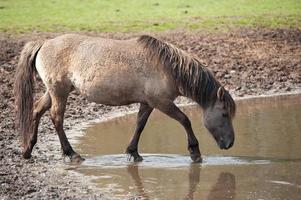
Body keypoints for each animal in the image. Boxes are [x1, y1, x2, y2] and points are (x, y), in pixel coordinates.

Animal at [13, 34, 234, 162]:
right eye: (224, 114)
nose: (230, 143)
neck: (167, 67)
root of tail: (44, 43)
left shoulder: (147, 103)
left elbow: (140, 125)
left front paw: (133, 152)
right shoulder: (161, 102)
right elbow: (185, 120)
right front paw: (194, 151)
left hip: (54, 92)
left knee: (36, 110)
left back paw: (28, 150)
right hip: (59, 92)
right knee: (56, 118)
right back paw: (71, 154)